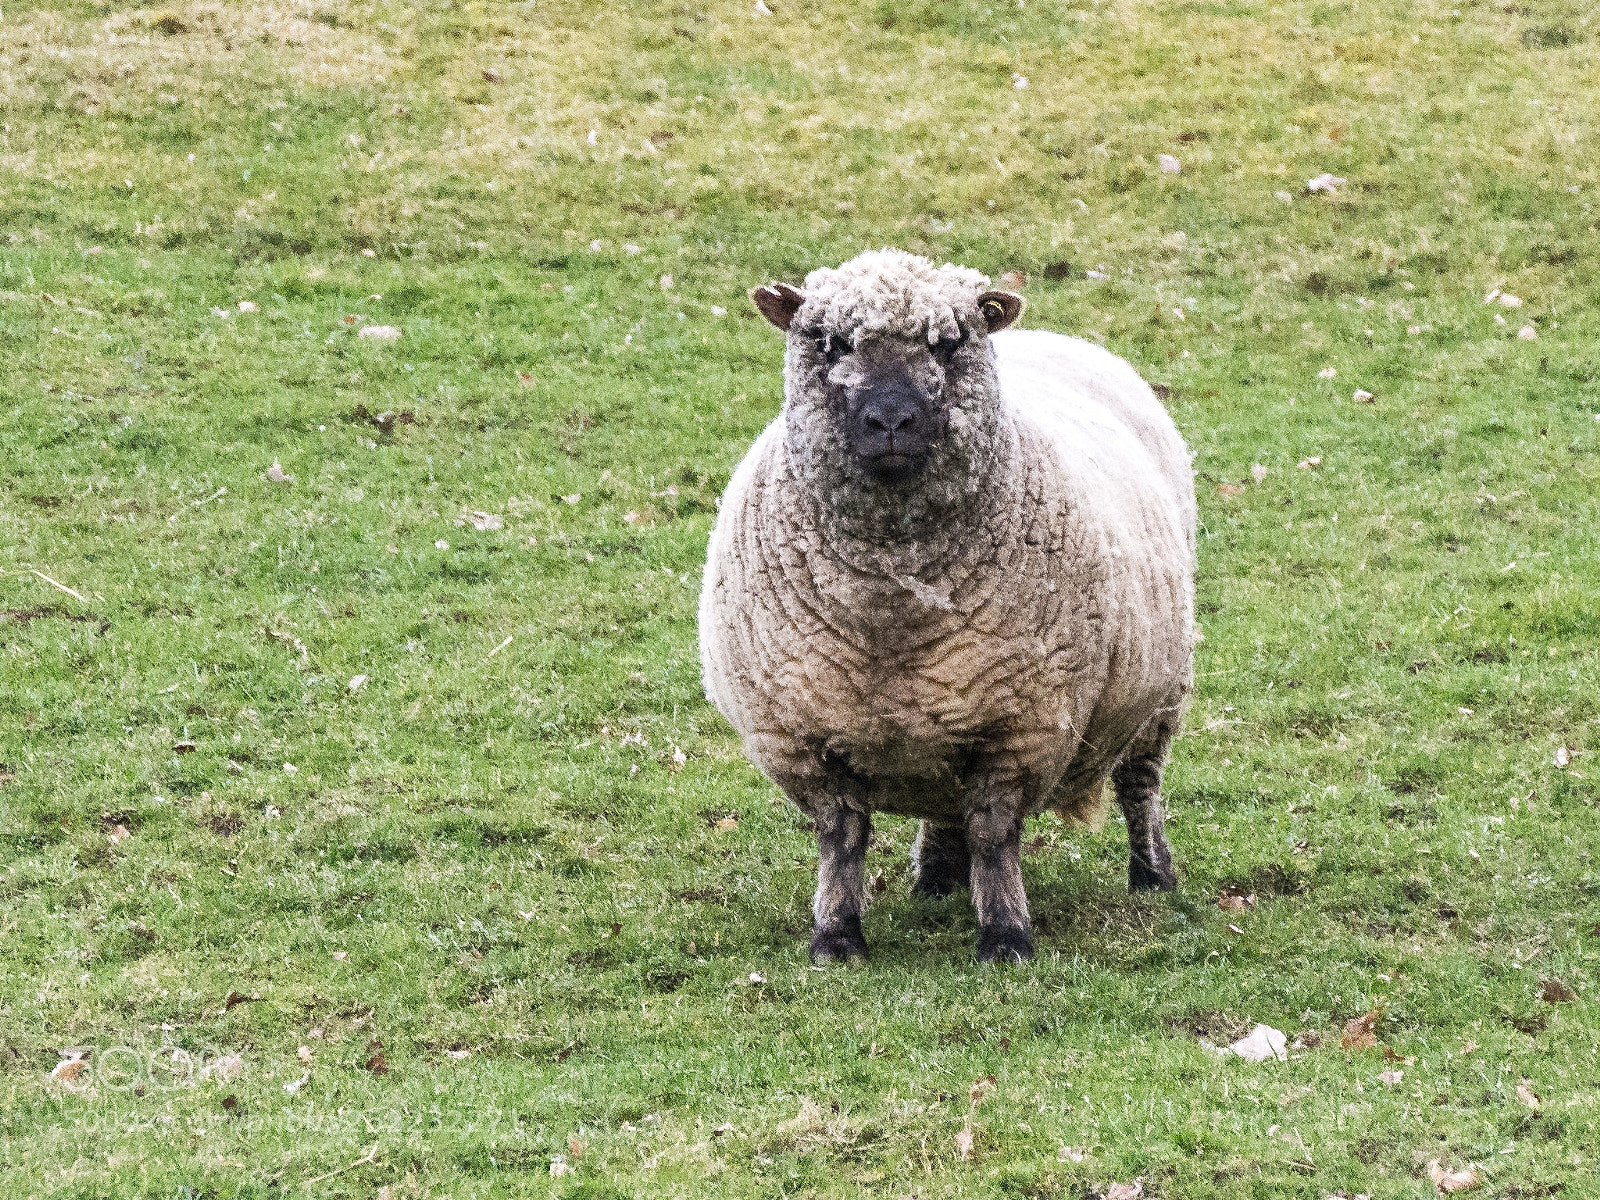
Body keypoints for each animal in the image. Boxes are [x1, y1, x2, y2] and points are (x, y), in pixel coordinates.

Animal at [698, 249, 1196, 964]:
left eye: (949, 343)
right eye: (830, 343)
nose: (891, 422)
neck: (890, 610)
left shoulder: (1019, 728)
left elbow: (993, 835)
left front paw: (1006, 937)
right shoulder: (804, 739)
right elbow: (841, 839)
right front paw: (836, 938)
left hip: (1159, 696)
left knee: (1140, 786)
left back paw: (1153, 877)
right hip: (946, 717)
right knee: (943, 804)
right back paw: (936, 879)